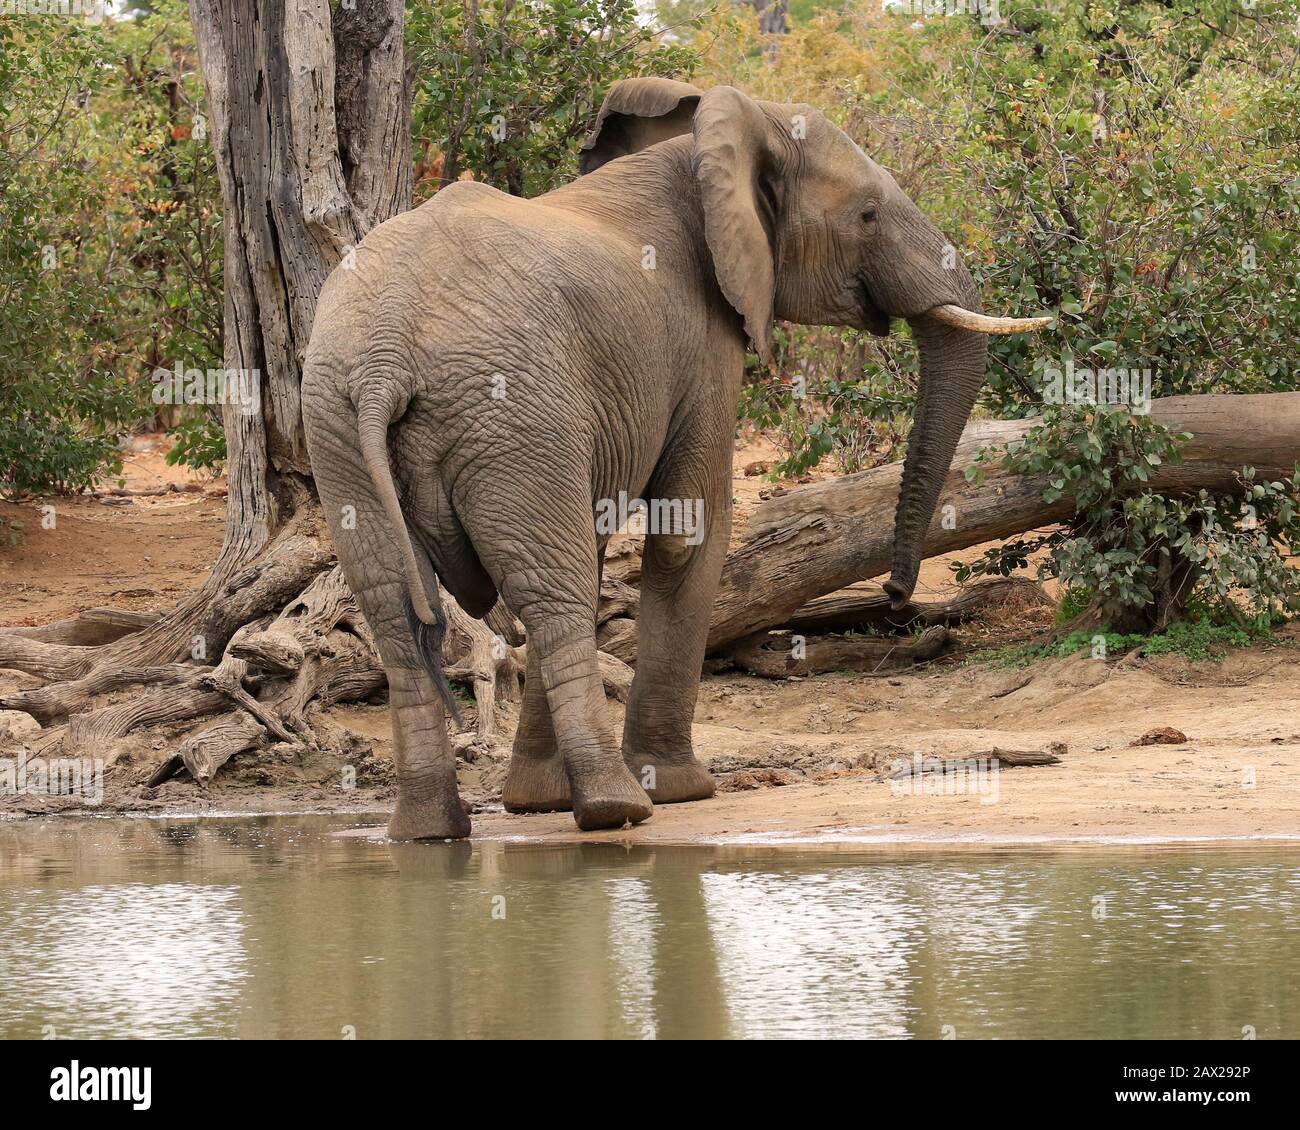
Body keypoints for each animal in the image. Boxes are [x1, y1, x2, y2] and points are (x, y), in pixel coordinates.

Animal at [299, 79, 1050, 837]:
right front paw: (682, 790)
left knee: (396, 612)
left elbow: (602, 534)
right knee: (552, 594)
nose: (897, 598)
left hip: (344, 423)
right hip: (501, 410)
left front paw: (540, 801)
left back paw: (430, 830)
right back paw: (617, 807)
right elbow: (688, 533)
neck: (712, 147)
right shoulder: (701, 341)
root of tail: (385, 359)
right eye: (867, 214)